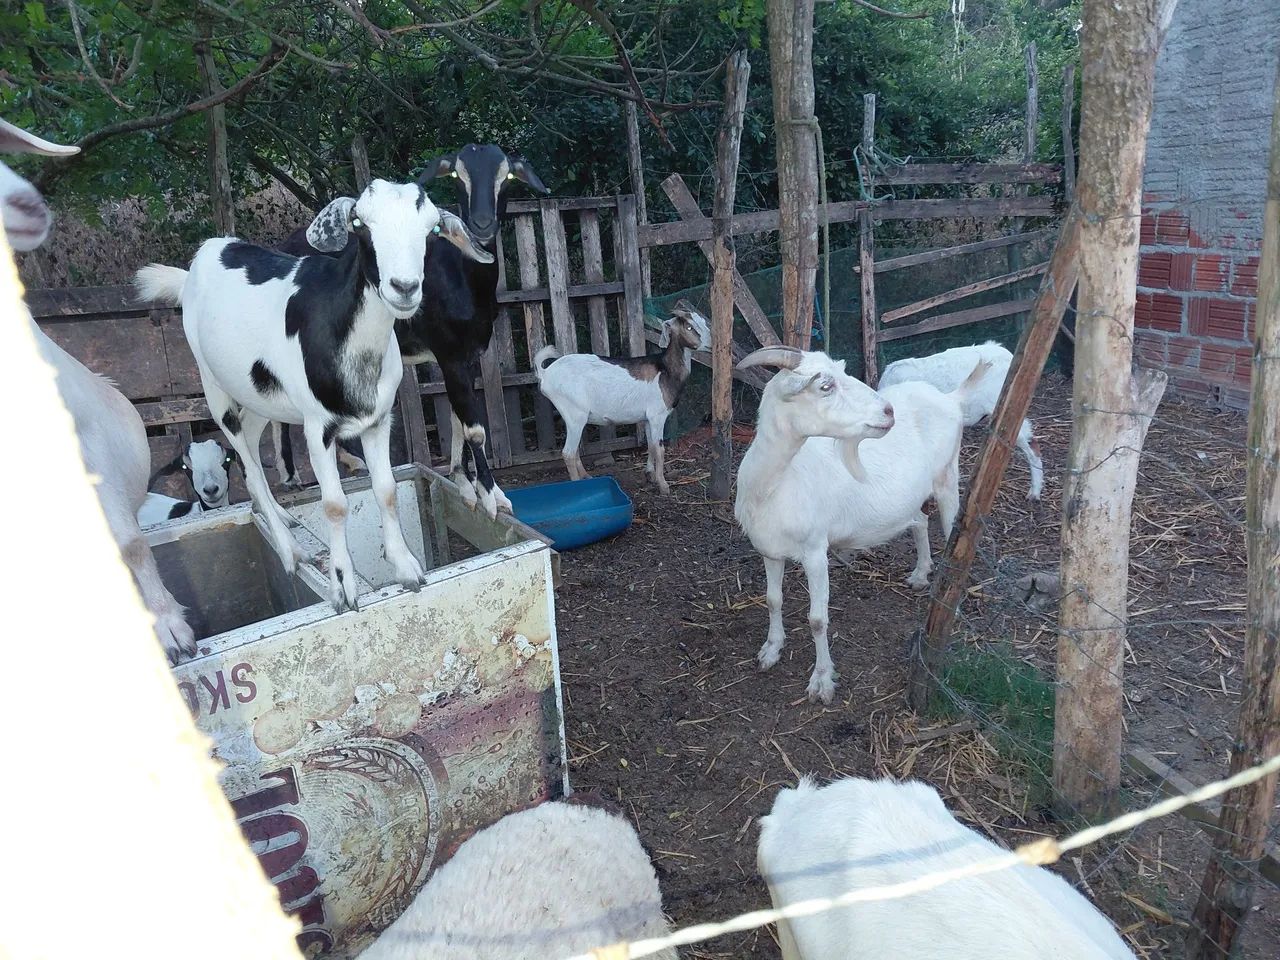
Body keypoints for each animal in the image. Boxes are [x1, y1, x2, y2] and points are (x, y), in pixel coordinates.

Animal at [134, 179, 493, 612]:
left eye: (433, 230)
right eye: (359, 224)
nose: (404, 288)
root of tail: (205, 256)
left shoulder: (378, 419)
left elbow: (387, 490)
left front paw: (406, 566)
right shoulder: (317, 427)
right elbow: (334, 504)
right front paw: (343, 587)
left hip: (261, 392)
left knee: (252, 445)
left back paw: (281, 518)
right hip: (212, 382)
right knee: (244, 454)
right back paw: (290, 551)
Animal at [275, 144, 549, 518]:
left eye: (506, 176)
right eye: (456, 175)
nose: (482, 224)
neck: (462, 276)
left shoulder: (468, 355)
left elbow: (458, 419)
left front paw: (464, 483)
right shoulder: (449, 353)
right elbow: (475, 428)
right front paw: (493, 497)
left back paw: (336, 464)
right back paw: (294, 473)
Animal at [534, 301, 710, 493]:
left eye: (703, 322)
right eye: (689, 326)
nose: (710, 343)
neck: (666, 370)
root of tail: (546, 373)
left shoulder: (647, 418)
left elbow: (650, 445)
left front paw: (649, 475)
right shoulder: (657, 416)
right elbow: (660, 449)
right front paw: (663, 485)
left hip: (573, 417)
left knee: (575, 450)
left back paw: (587, 477)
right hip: (575, 414)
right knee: (568, 453)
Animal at [734, 347, 987, 704]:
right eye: (825, 386)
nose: (888, 410)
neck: (772, 485)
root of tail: (951, 398)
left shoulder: (815, 551)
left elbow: (817, 620)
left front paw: (822, 681)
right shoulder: (769, 550)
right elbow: (773, 600)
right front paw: (771, 650)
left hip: (947, 476)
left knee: (953, 531)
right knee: (920, 521)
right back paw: (920, 573)